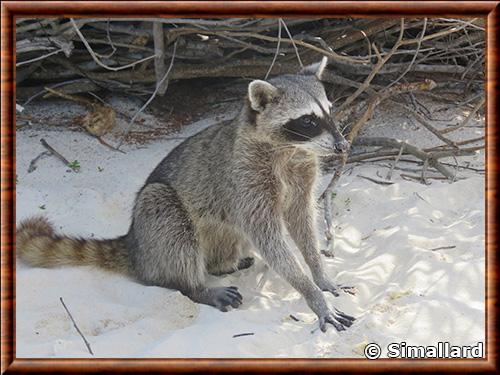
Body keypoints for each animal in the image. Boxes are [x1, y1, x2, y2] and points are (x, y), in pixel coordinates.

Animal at [17, 57, 356, 334]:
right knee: (170, 222)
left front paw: (318, 273)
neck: (289, 150)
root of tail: (135, 245)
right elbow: (268, 236)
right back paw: (194, 286)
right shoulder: (245, 178)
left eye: (329, 112)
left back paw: (222, 265)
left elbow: (301, 220)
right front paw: (311, 293)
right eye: (308, 121)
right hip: (156, 219)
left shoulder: (302, 173)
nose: (343, 146)